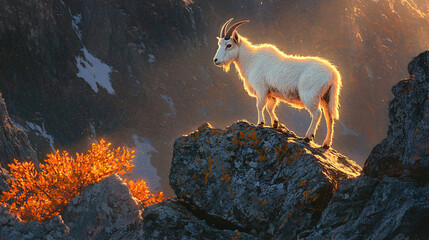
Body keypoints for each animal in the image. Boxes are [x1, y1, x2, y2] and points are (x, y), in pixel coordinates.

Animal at [213, 18, 342, 148]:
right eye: (219, 44)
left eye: (229, 45)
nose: (216, 60)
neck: (251, 60)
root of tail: (333, 73)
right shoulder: (270, 93)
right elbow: (270, 107)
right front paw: (275, 123)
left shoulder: (261, 89)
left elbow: (260, 105)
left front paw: (260, 123)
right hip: (326, 98)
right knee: (329, 117)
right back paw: (326, 144)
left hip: (310, 96)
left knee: (317, 113)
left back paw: (308, 137)